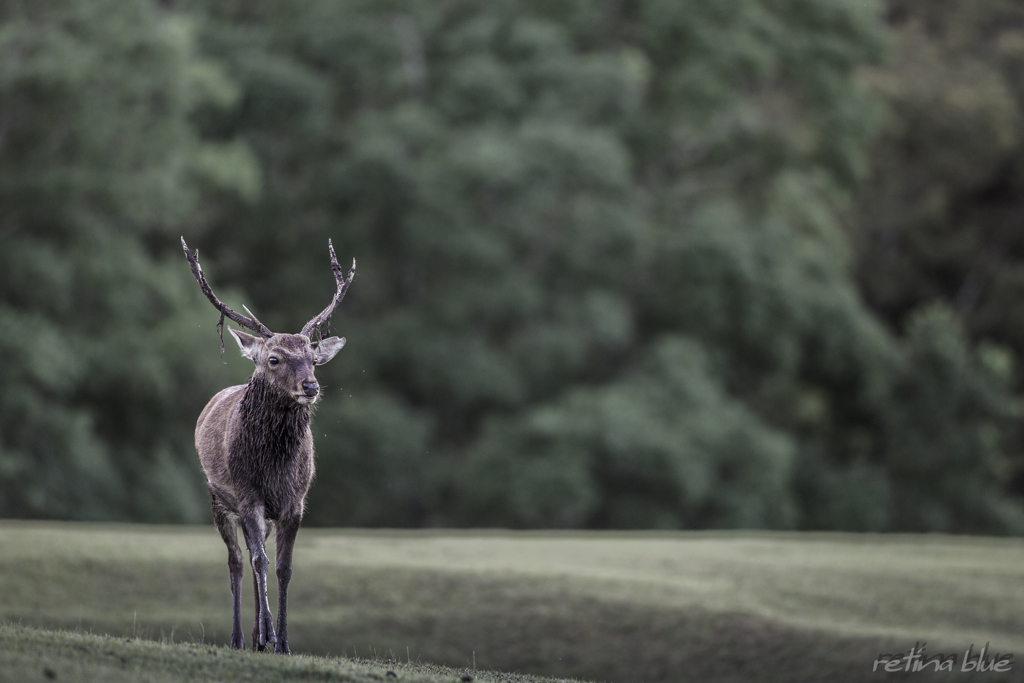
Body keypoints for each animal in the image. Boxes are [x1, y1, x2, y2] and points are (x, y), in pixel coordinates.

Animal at [177, 237, 352, 655]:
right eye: (274, 358)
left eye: (313, 360)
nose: (310, 386)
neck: (275, 468)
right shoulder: (248, 495)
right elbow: (257, 562)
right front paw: (269, 635)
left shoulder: (295, 502)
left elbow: (283, 567)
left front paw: (283, 642)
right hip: (219, 499)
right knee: (238, 562)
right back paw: (242, 637)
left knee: (257, 556)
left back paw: (260, 636)